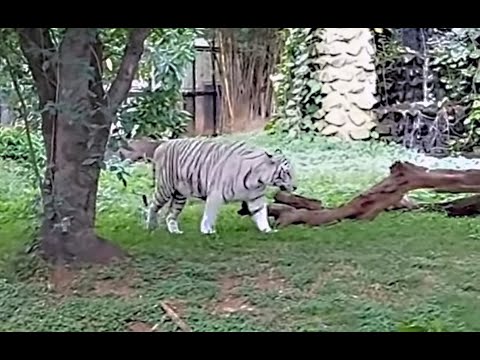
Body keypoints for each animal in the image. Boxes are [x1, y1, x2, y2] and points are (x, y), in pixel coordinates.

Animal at [144, 136, 296, 235]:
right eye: (287, 172)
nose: (295, 187)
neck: (258, 180)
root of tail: (161, 146)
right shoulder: (215, 195)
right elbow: (209, 214)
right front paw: (207, 231)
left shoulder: (255, 198)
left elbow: (261, 214)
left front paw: (267, 230)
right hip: (165, 188)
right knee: (153, 205)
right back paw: (150, 227)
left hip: (180, 195)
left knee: (170, 215)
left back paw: (175, 232)